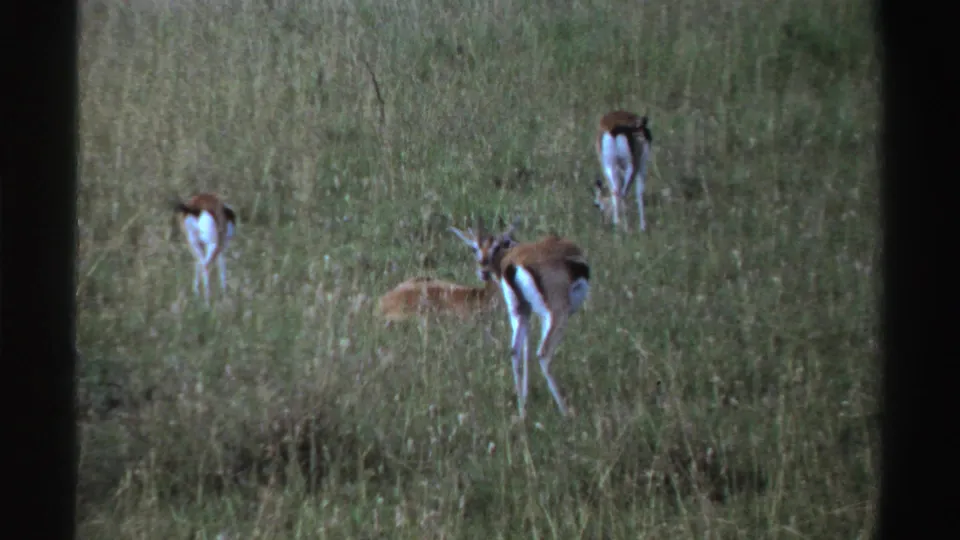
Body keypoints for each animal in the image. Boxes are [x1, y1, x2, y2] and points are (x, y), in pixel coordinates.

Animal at [450, 220, 591, 418]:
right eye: (474, 248)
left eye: (496, 246)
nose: (483, 269)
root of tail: (513, 265)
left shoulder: (527, 313)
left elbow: (525, 350)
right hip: (557, 314)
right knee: (543, 353)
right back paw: (566, 412)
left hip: (519, 313)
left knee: (515, 351)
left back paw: (522, 412)